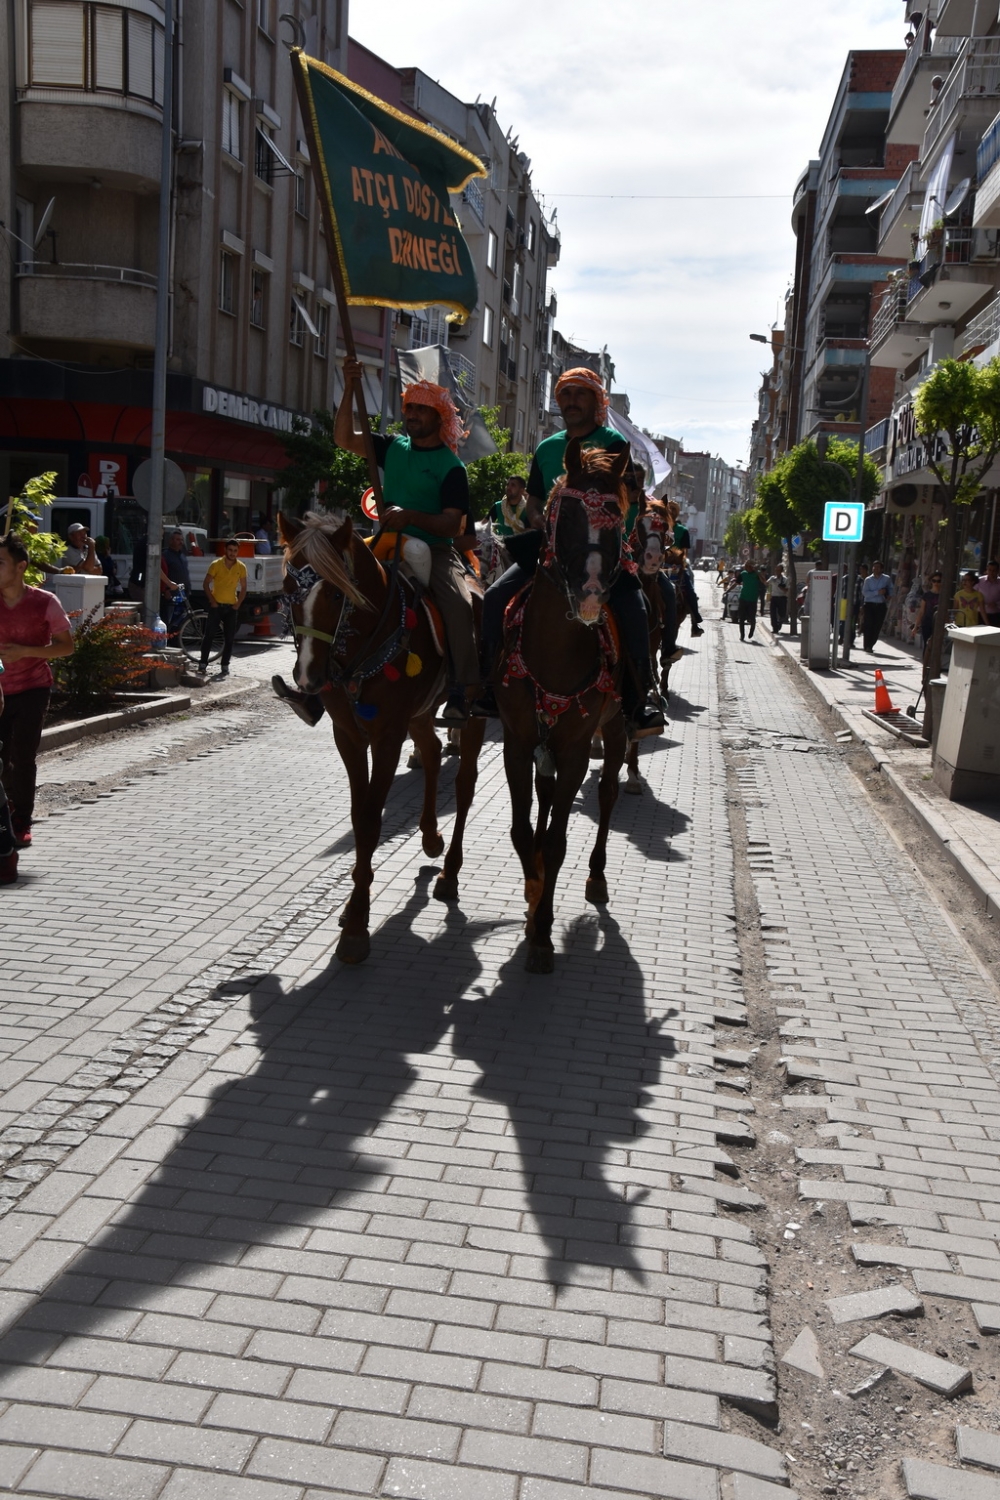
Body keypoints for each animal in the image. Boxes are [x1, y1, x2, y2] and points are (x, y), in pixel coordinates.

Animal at [277, 510, 488, 966]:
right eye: (286, 589)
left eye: (335, 595)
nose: (308, 677)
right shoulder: (348, 735)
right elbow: (359, 818)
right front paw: (353, 903)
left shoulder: (388, 735)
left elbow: (374, 819)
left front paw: (357, 924)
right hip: (421, 712)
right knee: (431, 752)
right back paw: (430, 836)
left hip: (474, 708)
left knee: (464, 784)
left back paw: (450, 871)